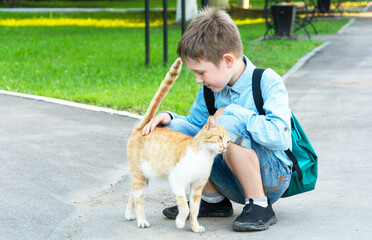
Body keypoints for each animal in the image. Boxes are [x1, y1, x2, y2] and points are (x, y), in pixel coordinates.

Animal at [125, 58, 230, 232]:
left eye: (228, 141)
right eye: (219, 137)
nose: (225, 148)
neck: (204, 155)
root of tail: (141, 128)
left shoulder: (197, 187)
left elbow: (195, 209)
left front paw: (194, 227)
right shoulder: (177, 181)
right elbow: (185, 208)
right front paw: (180, 222)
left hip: (144, 177)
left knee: (132, 193)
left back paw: (129, 214)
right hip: (139, 175)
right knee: (138, 197)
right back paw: (141, 220)